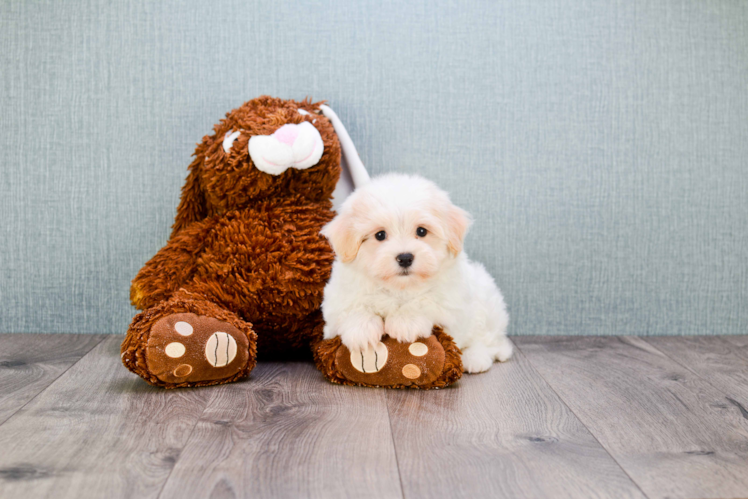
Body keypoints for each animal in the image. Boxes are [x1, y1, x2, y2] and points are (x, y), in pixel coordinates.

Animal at [318, 172, 512, 372]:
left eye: (421, 231)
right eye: (380, 235)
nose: (405, 258)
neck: (400, 287)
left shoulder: (451, 302)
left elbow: (426, 302)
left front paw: (405, 321)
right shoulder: (337, 302)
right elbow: (350, 308)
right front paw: (361, 329)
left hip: (487, 302)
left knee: (489, 341)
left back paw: (475, 358)